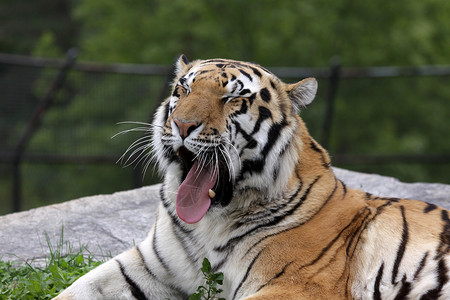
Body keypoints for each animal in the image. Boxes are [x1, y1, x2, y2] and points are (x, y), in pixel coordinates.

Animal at [55, 55, 450, 298]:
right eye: (183, 90)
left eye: (232, 99)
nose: (181, 125)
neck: (210, 224)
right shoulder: (145, 266)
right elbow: (75, 288)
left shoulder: (295, 286)